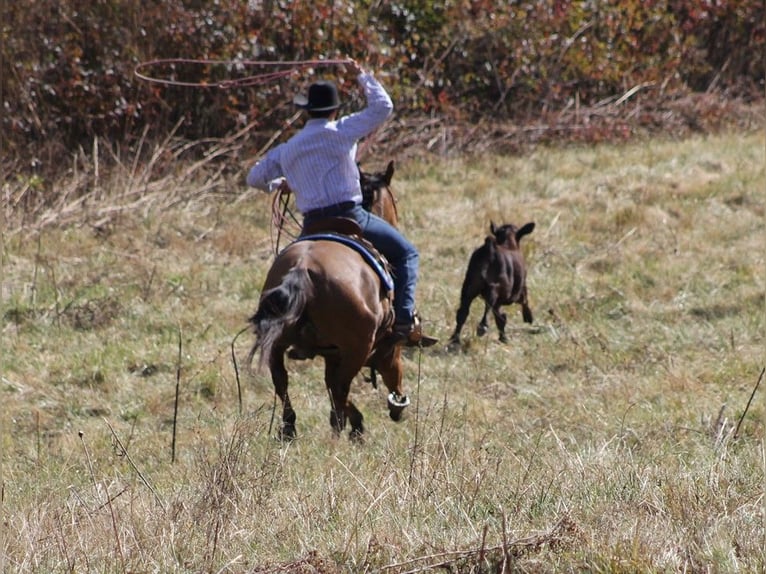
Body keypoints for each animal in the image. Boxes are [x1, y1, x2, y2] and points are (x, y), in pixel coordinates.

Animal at [249, 162, 412, 440]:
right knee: (340, 387)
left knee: (283, 381)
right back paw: (346, 428)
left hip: (278, 344)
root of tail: (303, 269)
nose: (398, 406)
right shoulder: (378, 347)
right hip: (357, 347)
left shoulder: (332, 352)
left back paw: (291, 428)